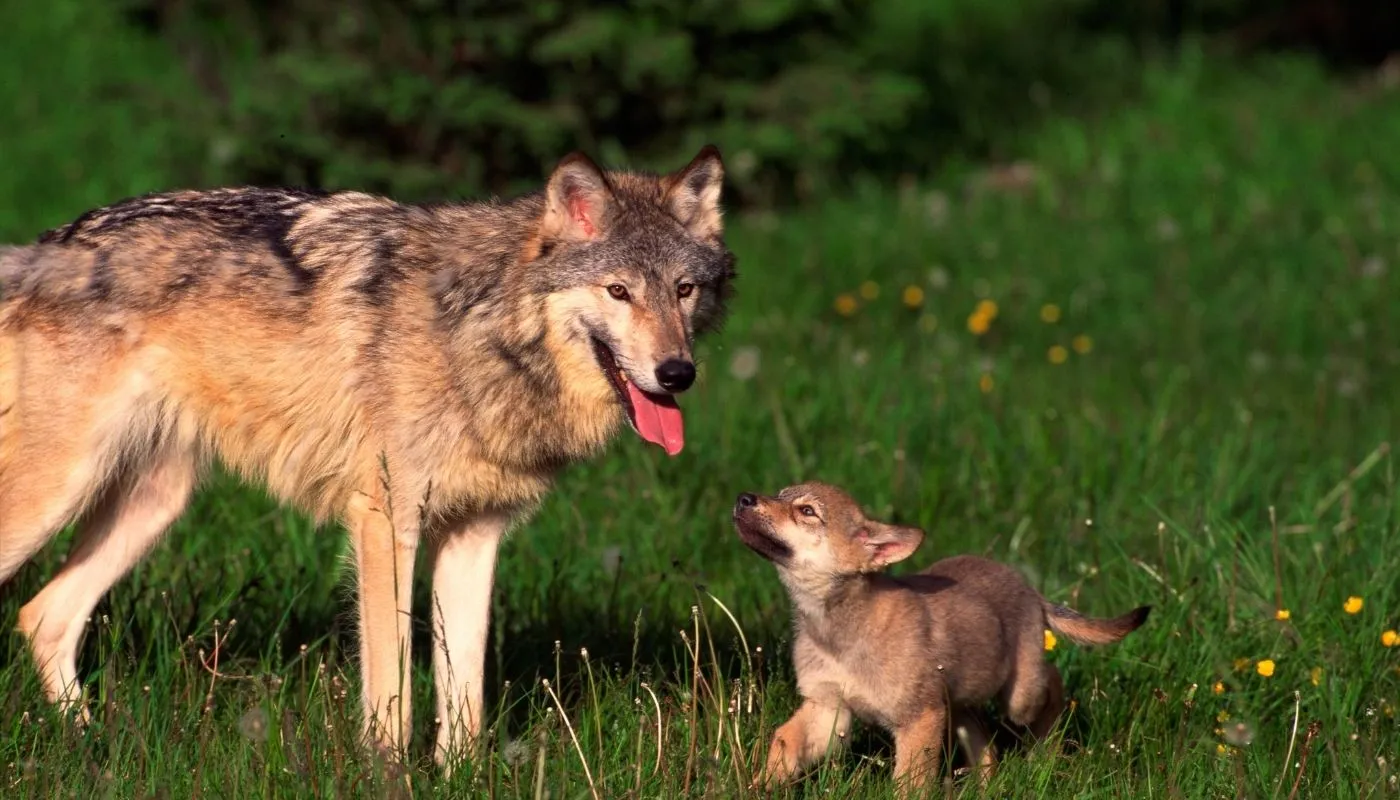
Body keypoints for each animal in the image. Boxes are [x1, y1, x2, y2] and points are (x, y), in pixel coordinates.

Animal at [0, 146, 735, 766]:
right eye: (619, 291)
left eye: (683, 290)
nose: (677, 374)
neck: (478, 332)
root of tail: (46, 245)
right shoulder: (386, 524)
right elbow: (392, 690)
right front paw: (388, 773)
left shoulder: (475, 535)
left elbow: (464, 692)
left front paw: (459, 775)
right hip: (55, 498)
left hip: (153, 506)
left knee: (44, 615)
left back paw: (94, 744)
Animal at [732, 482, 1149, 794]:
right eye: (780, 493)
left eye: (807, 511)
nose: (743, 498)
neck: (837, 629)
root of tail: (1030, 590)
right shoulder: (826, 710)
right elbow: (783, 746)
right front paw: (758, 787)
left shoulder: (919, 718)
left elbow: (909, 784)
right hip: (960, 703)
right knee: (987, 746)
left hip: (1019, 697)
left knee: (1053, 683)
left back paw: (1045, 751)